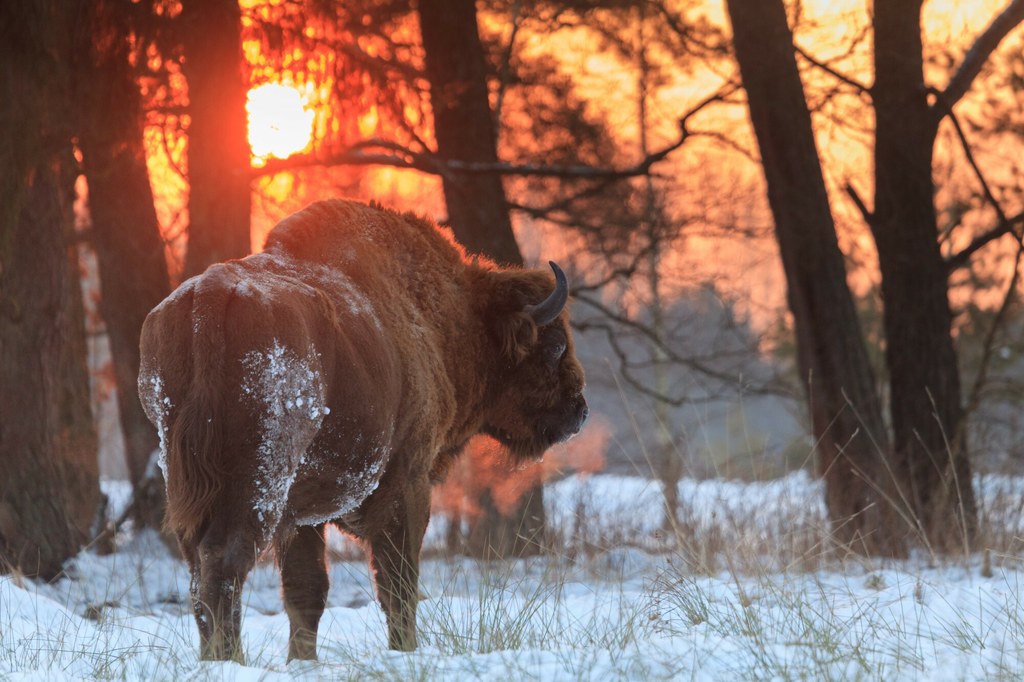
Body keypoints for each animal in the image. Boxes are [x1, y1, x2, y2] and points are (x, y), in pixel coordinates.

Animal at [137, 196, 589, 659]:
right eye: (554, 345)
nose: (578, 410)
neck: (442, 317)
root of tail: (209, 299)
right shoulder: (408, 482)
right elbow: (398, 583)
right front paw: (404, 650)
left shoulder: (303, 515)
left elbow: (306, 591)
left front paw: (303, 660)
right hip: (259, 478)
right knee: (224, 561)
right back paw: (228, 659)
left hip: (187, 479)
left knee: (197, 569)